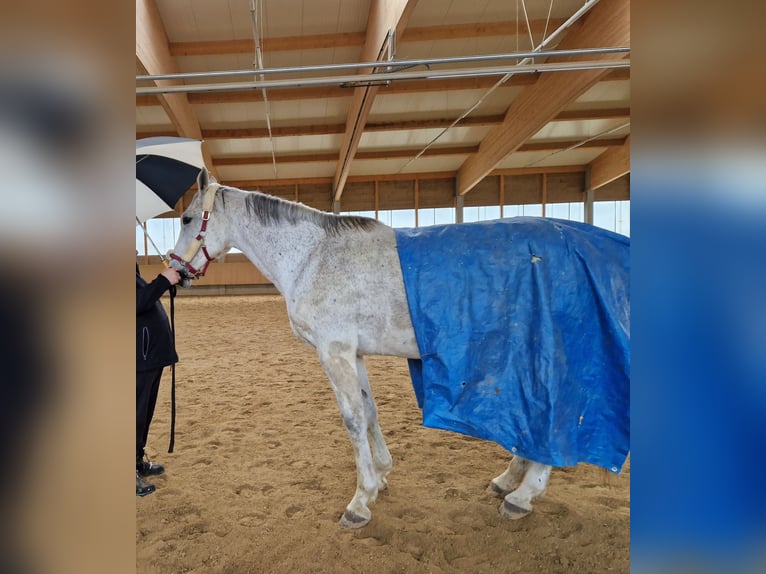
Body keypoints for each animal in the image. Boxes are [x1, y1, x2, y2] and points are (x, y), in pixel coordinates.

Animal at [170, 170, 632, 532]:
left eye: (189, 218)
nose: (176, 269)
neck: (313, 257)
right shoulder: (354, 353)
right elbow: (370, 411)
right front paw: (382, 476)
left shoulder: (334, 351)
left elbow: (353, 420)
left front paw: (360, 501)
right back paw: (509, 480)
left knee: (557, 419)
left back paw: (522, 495)